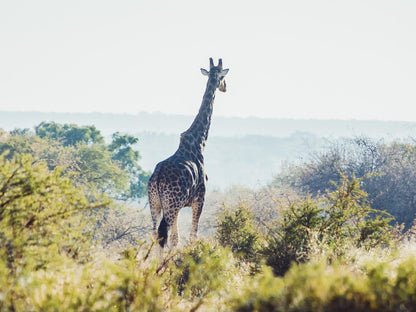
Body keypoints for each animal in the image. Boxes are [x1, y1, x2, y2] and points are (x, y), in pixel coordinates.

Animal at [148, 58, 229, 249]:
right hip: (171, 204)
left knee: (155, 233)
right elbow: (192, 237)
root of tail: (157, 177)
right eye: (223, 77)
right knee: (163, 234)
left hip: (155, 204)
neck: (198, 143)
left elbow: (176, 239)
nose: (225, 87)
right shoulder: (200, 199)